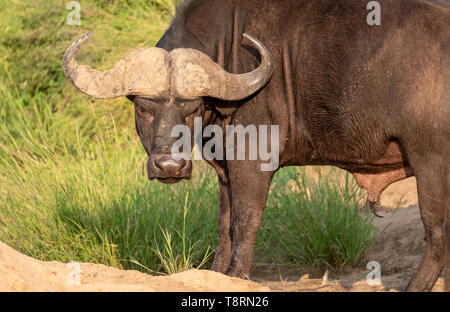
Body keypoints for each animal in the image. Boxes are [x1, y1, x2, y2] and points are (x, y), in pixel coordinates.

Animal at [64, 0, 450, 292]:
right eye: (143, 107)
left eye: (192, 107)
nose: (170, 167)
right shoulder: (224, 168)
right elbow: (224, 223)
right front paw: (217, 273)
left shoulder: (252, 158)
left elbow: (245, 220)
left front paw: (237, 275)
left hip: (430, 163)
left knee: (436, 236)